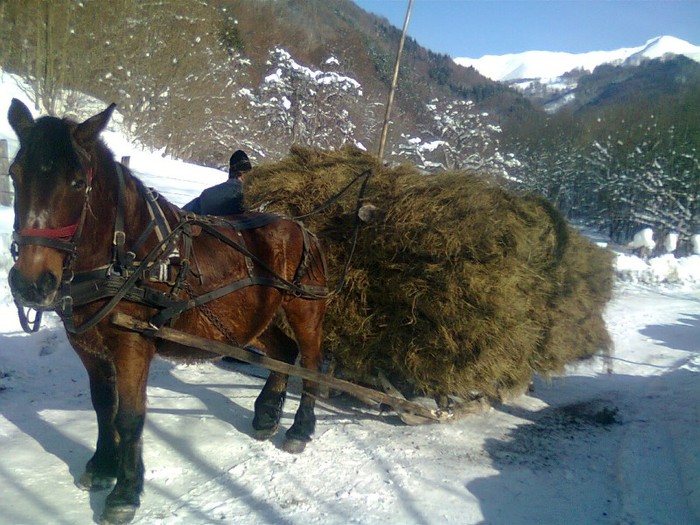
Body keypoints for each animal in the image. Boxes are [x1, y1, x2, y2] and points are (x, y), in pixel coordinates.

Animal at [6, 99, 328, 524]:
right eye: (14, 174)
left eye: (77, 182)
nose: (31, 282)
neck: (124, 256)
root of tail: (301, 227)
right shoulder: (88, 346)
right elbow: (103, 406)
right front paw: (102, 466)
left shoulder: (132, 345)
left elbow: (129, 416)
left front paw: (125, 492)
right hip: (251, 318)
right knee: (282, 353)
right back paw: (266, 415)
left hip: (305, 310)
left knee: (309, 364)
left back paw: (299, 429)